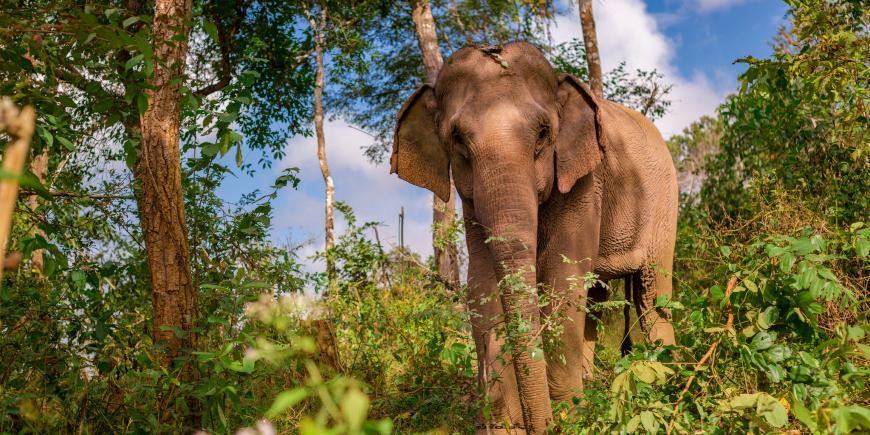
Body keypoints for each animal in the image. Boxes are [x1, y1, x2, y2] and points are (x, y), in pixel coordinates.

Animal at [390, 42, 678, 433]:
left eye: (543, 133)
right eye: (457, 139)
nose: (542, 424)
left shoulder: (584, 181)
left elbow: (561, 278)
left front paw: (570, 416)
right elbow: (482, 284)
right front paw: (503, 424)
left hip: (664, 206)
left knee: (651, 294)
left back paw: (666, 383)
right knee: (597, 296)